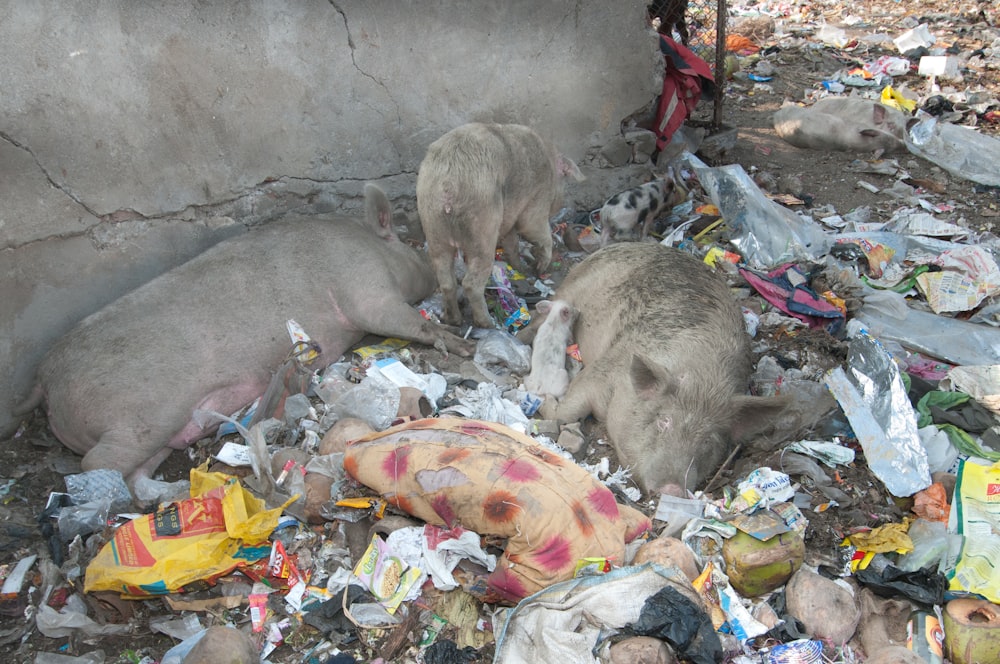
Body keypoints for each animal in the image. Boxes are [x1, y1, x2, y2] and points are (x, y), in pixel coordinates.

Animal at [13, 184, 470, 500]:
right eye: (411, 247)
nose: (442, 278)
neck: (371, 245)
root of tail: (44, 380)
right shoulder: (365, 289)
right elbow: (402, 319)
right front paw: (458, 343)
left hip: (160, 433)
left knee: (139, 470)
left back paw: (169, 496)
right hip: (137, 419)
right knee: (97, 462)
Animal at [416, 121, 584, 330]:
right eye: (564, 180)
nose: (562, 202)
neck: (551, 164)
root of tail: (447, 185)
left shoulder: (509, 219)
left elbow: (512, 243)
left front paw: (521, 269)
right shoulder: (537, 198)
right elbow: (534, 228)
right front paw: (539, 269)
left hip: (432, 221)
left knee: (446, 279)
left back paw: (452, 320)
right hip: (481, 222)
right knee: (471, 282)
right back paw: (488, 324)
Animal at [532, 243, 788, 492]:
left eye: (708, 441)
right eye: (663, 421)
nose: (672, 489)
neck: (702, 380)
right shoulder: (602, 369)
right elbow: (568, 410)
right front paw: (544, 401)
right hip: (570, 291)